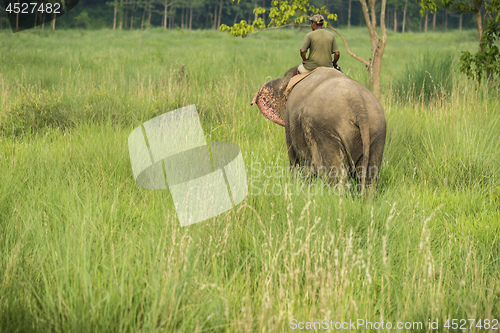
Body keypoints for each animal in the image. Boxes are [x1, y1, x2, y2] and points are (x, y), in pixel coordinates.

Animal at [254, 66, 386, 193]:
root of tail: (357, 102)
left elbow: (297, 162)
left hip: (325, 130)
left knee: (336, 176)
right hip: (377, 130)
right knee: (370, 176)